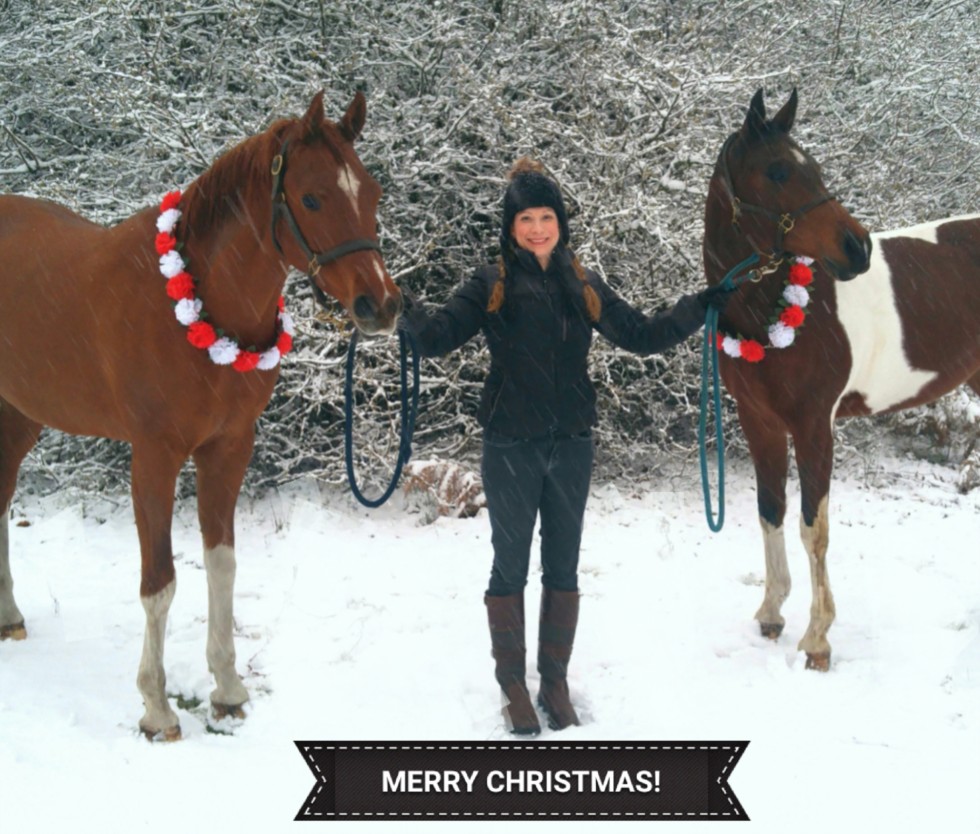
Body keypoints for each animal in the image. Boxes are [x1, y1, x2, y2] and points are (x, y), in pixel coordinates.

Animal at [0, 91, 402, 739]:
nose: (381, 305)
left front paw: (228, 689)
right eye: (313, 197)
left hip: (20, 417)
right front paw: (156, 707)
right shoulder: (154, 457)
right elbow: (159, 583)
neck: (197, 302)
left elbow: (222, 565)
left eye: (371, 193)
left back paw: (10, 615)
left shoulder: (229, 449)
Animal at [703, 88, 980, 671]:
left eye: (814, 167)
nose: (859, 248)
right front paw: (771, 613)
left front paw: (817, 640)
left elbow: (814, 528)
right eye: (778, 170)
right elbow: (771, 511)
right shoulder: (760, 423)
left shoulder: (814, 426)